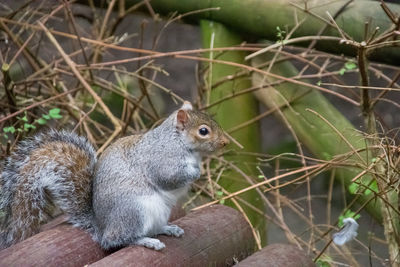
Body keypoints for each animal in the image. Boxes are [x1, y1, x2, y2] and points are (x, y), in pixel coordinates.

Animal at [0, 102, 230, 251]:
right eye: (203, 131)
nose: (225, 142)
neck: (177, 141)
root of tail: (102, 228)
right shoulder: (160, 160)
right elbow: (168, 176)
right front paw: (197, 172)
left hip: (159, 212)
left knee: (150, 229)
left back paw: (167, 229)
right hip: (134, 211)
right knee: (118, 240)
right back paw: (146, 241)